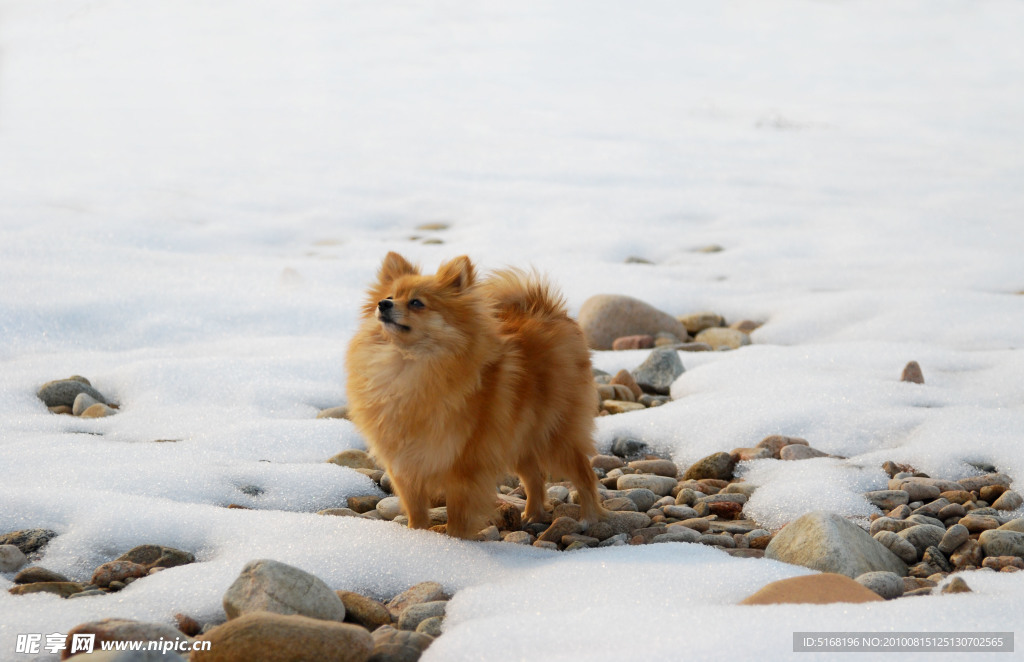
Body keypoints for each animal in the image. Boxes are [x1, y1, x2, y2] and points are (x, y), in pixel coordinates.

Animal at [348, 253, 606, 541]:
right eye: (390, 296)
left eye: (416, 303)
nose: (383, 304)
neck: (407, 364)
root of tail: (547, 310)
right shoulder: (405, 464)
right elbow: (415, 508)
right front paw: (418, 536)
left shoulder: (464, 465)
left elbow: (459, 513)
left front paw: (455, 540)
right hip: (517, 439)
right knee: (534, 477)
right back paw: (533, 514)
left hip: (555, 436)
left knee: (584, 475)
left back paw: (589, 517)